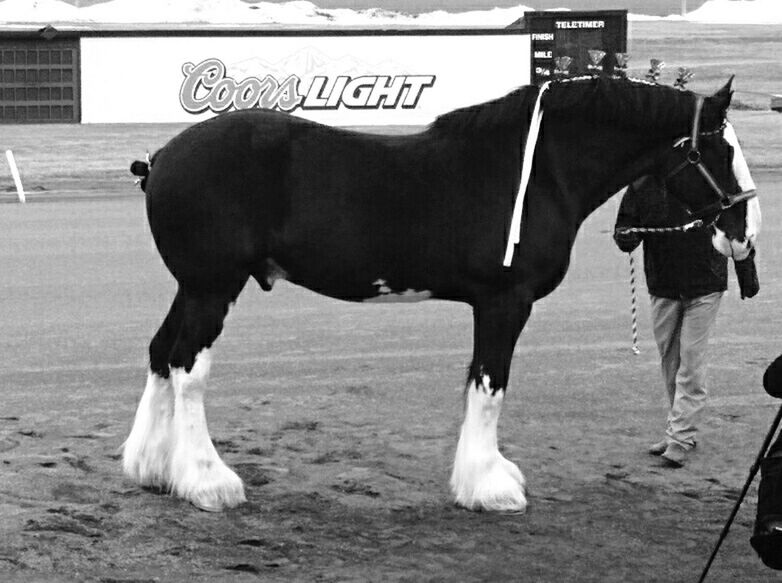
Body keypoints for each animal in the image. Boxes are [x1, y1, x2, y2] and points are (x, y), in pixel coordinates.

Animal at [124, 75, 760, 512]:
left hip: (192, 288)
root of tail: (161, 159)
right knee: (187, 368)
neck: (539, 172)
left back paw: (151, 468)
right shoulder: (505, 301)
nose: (745, 230)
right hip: (212, 288)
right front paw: (489, 488)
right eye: (722, 151)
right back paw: (208, 481)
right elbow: (490, 385)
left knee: (160, 354)